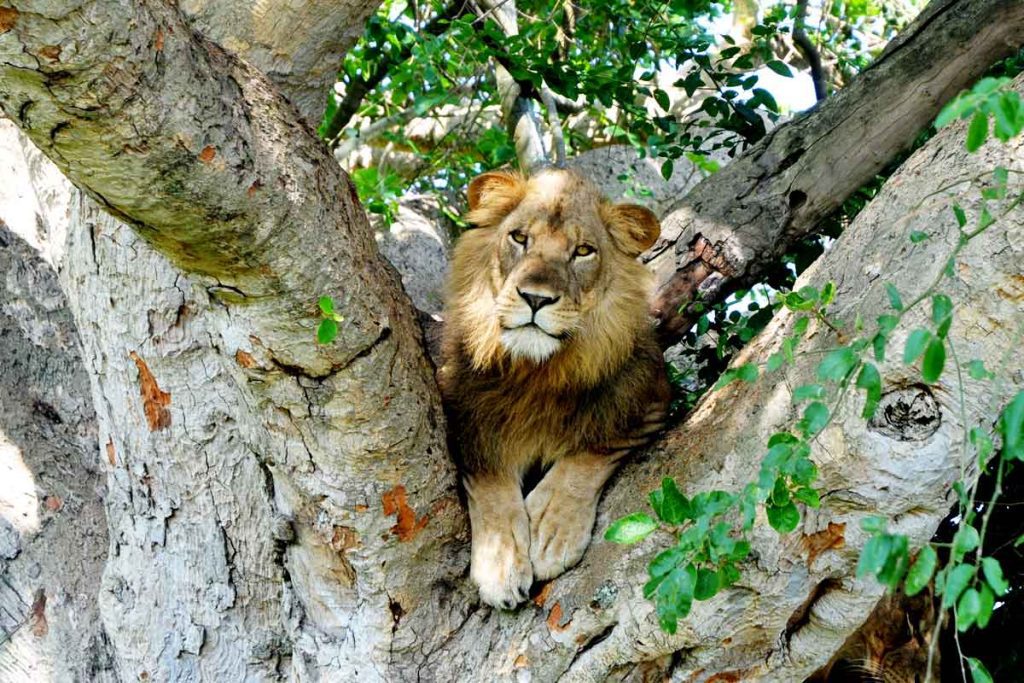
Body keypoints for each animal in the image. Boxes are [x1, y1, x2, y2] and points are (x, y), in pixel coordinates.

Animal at [438, 169, 671, 610]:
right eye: (519, 238)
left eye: (583, 251)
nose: (535, 298)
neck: (537, 374)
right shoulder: (465, 421)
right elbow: (490, 481)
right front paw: (500, 562)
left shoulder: (649, 402)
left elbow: (590, 452)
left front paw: (551, 530)